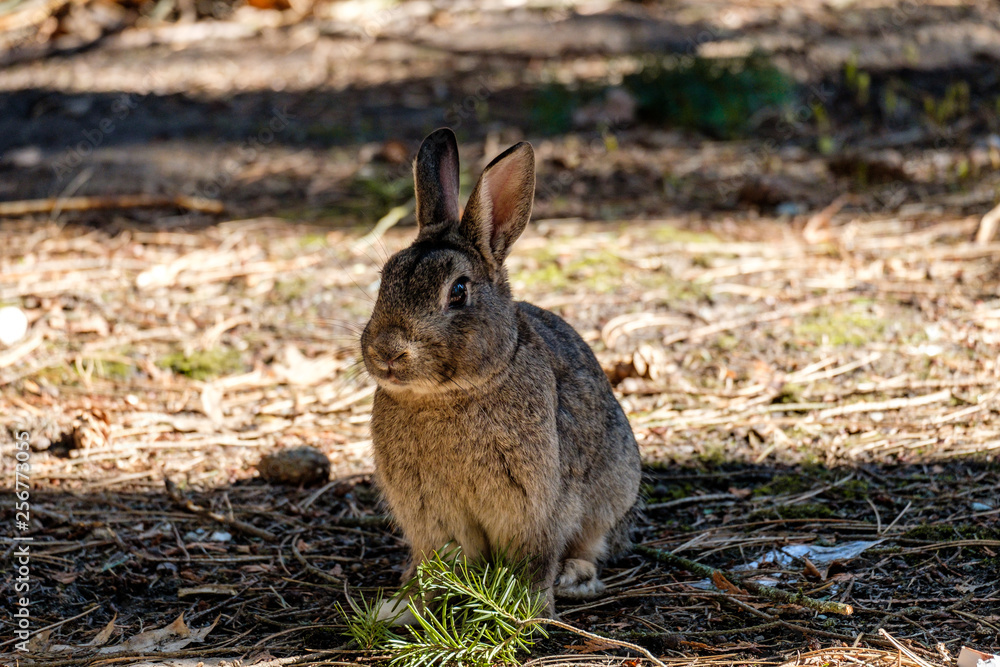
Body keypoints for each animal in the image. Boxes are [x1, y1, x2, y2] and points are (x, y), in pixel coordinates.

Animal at [360, 127, 642, 622]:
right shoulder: (429, 516)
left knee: (594, 545)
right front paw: (403, 608)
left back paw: (574, 577)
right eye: (385, 278)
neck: (448, 395)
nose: (387, 351)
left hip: (614, 492)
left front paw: (527, 608)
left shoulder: (536, 506)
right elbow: (434, 565)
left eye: (458, 291)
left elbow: (534, 559)